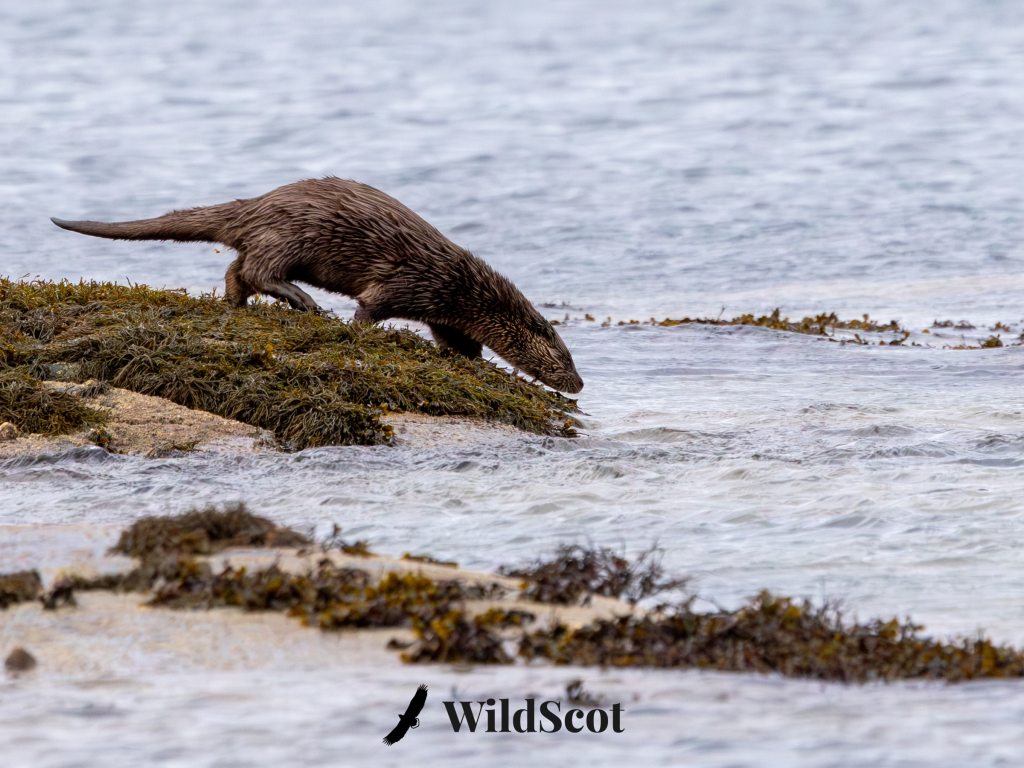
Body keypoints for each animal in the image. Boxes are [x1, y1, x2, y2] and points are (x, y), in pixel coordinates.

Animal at [51, 177, 583, 393]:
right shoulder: (408, 282)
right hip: (290, 234)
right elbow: (369, 309)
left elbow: (459, 343)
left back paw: (236, 304)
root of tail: (257, 205)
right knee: (260, 268)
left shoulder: (443, 310)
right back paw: (302, 301)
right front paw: (359, 332)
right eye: (566, 359)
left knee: (237, 269)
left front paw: (472, 363)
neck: (463, 287)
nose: (579, 385)